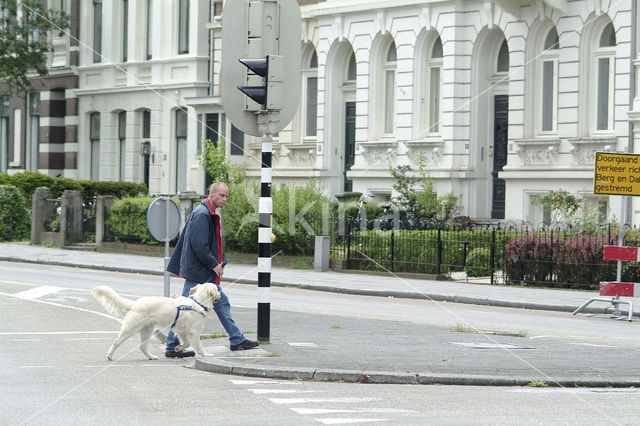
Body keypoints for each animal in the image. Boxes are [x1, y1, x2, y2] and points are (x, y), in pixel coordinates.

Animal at [90, 282, 220, 360]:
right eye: (217, 289)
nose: (220, 294)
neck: (199, 302)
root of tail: (135, 303)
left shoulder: (182, 331)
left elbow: (186, 343)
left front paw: (178, 348)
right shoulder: (194, 332)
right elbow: (199, 346)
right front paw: (206, 354)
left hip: (147, 330)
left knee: (142, 346)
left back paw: (151, 356)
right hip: (130, 329)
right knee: (116, 342)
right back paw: (109, 355)